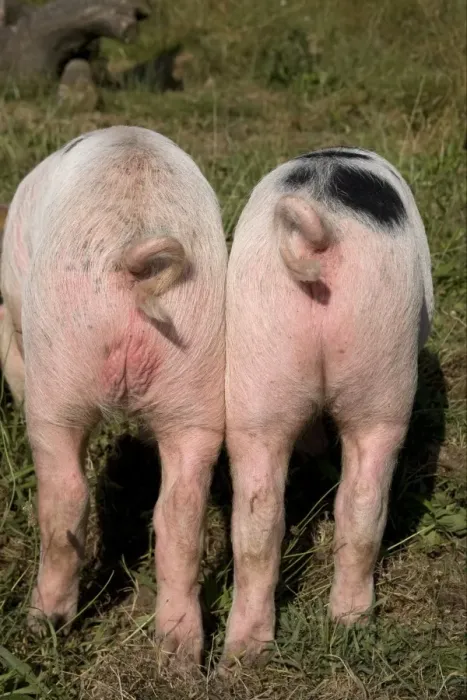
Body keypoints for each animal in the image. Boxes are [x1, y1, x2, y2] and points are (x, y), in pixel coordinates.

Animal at [0, 126, 227, 666]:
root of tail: (134, 257)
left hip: (58, 361)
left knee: (66, 497)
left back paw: (43, 625)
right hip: (198, 367)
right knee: (180, 513)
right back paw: (180, 659)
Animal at [223, 147, 433, 668]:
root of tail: (315, 238)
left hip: (262, 357)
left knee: (262, 517)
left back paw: (248, 655)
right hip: (385, 351)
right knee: (364, 495)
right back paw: (350, 625)